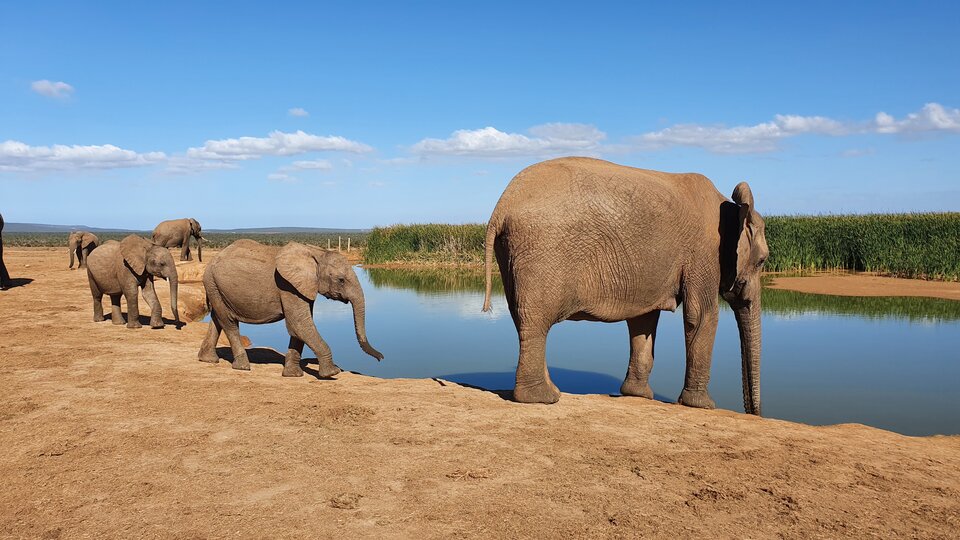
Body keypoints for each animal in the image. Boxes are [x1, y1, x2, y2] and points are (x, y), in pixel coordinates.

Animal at [199, 238, 382, 378]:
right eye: (341, 280)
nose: (381, 358)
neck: (316, 253)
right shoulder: (287, 285)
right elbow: (299, 324)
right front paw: (332, 373)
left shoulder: (303, 287)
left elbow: (300, 327)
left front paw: (293, 375)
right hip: (213, 282)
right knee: (228, 322)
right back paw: (243, 367)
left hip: (215, 286)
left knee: (217, 319)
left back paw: (208, 360)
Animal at [484, 158, 768, 416]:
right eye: (763, 261)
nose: (753, 413)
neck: (731, 207)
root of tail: (501, 206)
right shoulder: (704, 253)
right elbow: (701, 316)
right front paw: (703, 406)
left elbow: (644, 320)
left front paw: (638, 395)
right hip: (541, 251)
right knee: (536, 322)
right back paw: (541, 398)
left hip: (512, 253)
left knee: (524, 321)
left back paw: (551, 392)